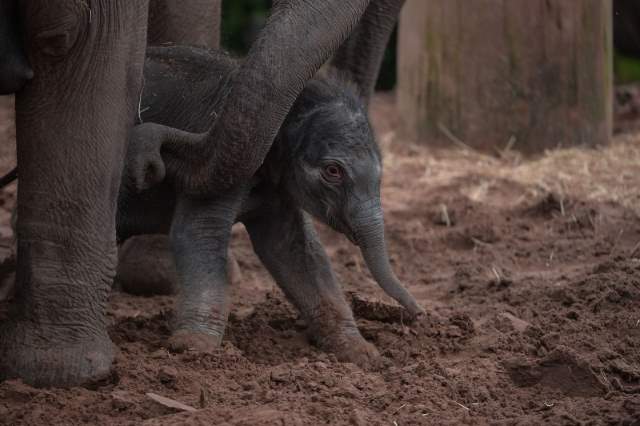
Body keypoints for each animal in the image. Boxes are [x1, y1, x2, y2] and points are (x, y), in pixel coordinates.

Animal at [123, 45, 428, 366]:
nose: (419, 313)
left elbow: (293, 248)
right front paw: (193, 347)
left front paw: (363, 353)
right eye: (333, 171)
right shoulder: (218, 163)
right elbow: (199, 231)